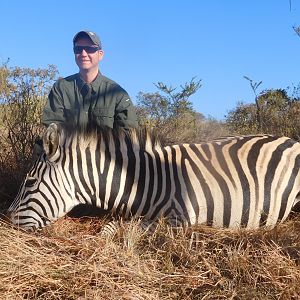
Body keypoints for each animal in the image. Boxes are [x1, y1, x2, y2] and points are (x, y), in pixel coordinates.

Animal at [5, 123, 300, 231]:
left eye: (30, 182)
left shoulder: (178, 221)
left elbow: (118, 229)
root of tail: (290, 139)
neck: (147, 182)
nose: (7, 219)